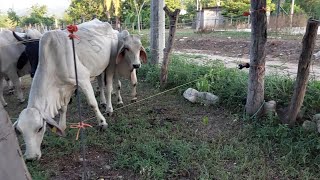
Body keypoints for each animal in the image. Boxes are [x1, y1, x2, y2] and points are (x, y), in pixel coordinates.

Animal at [13, 19, 146, 160]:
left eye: (39, 128)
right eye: (19, 131)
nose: (31, 157)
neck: (54, 60)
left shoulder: (83, 79)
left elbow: (92, 103)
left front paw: (102, 123)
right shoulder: (66, 87)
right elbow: (63, 108)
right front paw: (62, 126)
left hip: (110, 65)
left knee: (109, 86)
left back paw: (109, 108)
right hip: (98, 68)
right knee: (101, 84)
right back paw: (103, 102)